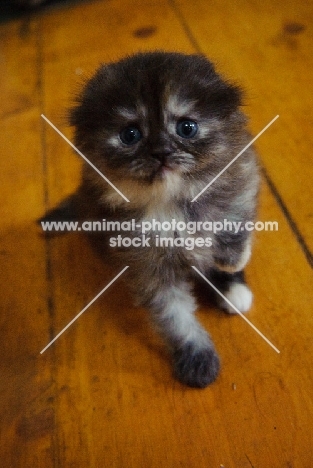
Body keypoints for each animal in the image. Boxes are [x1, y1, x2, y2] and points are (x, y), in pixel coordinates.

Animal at [42, 51, 258, 388]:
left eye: (187, 128)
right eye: (130, 135)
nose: (161, 152)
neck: (167, 203)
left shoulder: (241, 175)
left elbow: (234, 219)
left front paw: (230, 261)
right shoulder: (148, 267)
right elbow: (174, 315)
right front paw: (196, 356)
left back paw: (233, 289)